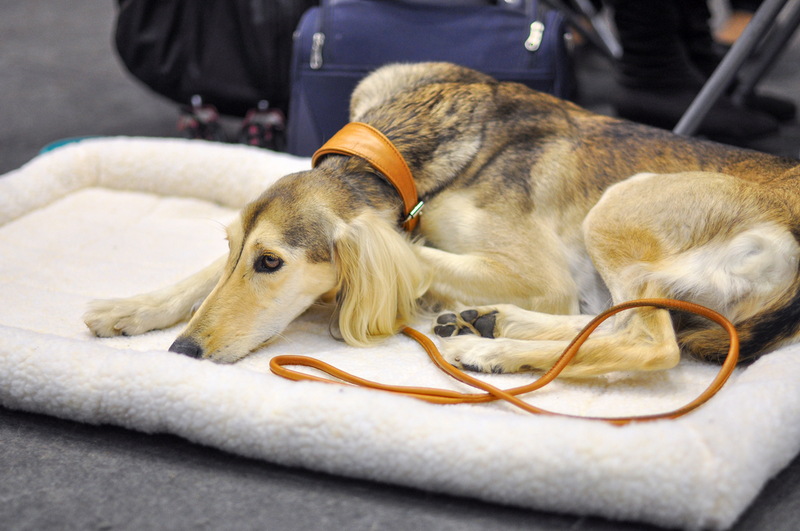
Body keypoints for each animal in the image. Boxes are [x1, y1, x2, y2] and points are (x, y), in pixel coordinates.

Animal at [83, 63, 800, 378]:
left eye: (271, 264)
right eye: (242, 252)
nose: (184, 352)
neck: (407, 146)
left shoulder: (542, 274)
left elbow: (411, 253)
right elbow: (202, 273)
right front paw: (131, 307)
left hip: (619, 206)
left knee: (651, 341)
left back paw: (492, 347)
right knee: (618, 320)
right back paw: (492, 323)